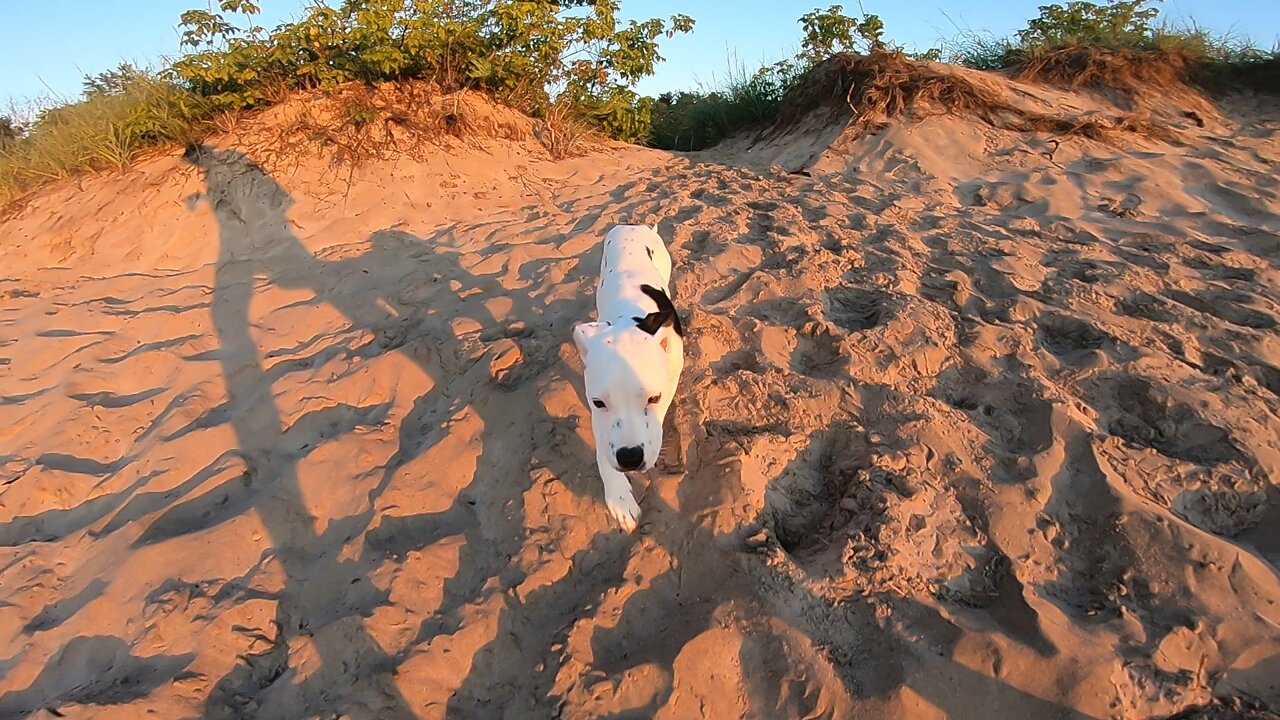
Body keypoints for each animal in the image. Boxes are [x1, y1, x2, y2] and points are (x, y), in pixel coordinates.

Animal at [576, 224, 686, 532]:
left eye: (654, 398)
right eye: (599, 403)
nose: (629, 457)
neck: (628, 316)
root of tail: (633, 226)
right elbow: (602, 447)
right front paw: (619, 496)